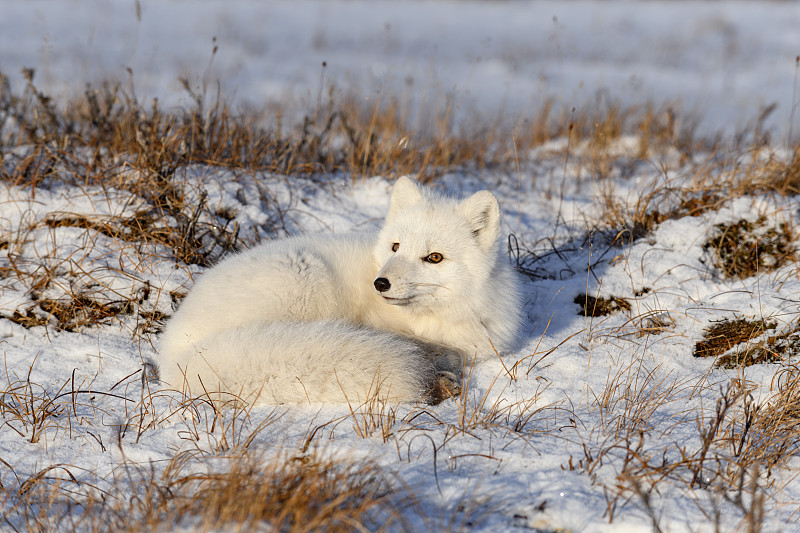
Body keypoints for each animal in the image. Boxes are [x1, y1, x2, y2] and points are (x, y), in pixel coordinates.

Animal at [159, 177, 520, 406]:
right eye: (396, 247)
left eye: (434, 257)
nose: (380, 284)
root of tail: (174, 354)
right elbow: (442, 350)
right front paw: (437, 365)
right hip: (306, 279)